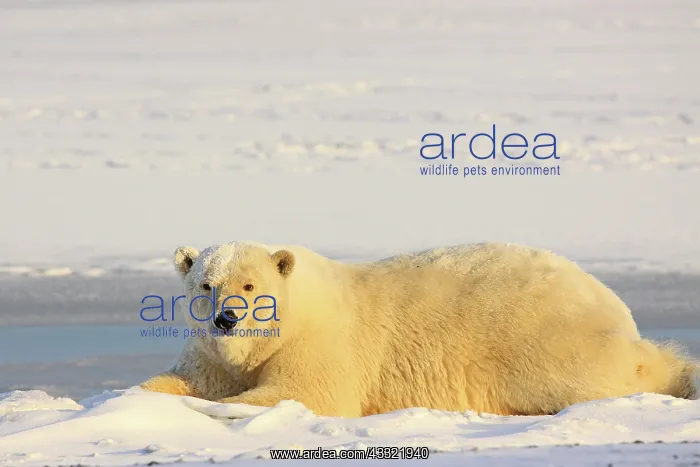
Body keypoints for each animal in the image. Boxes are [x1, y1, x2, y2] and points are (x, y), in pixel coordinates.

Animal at [140, 241, 698, 417]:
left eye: (251, 286)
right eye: (207, 284)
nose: (227, 317)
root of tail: (615, 305)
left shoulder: (320, 342)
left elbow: (307, 393)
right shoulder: (211, 353)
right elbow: (188, 379)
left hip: (547, 344)